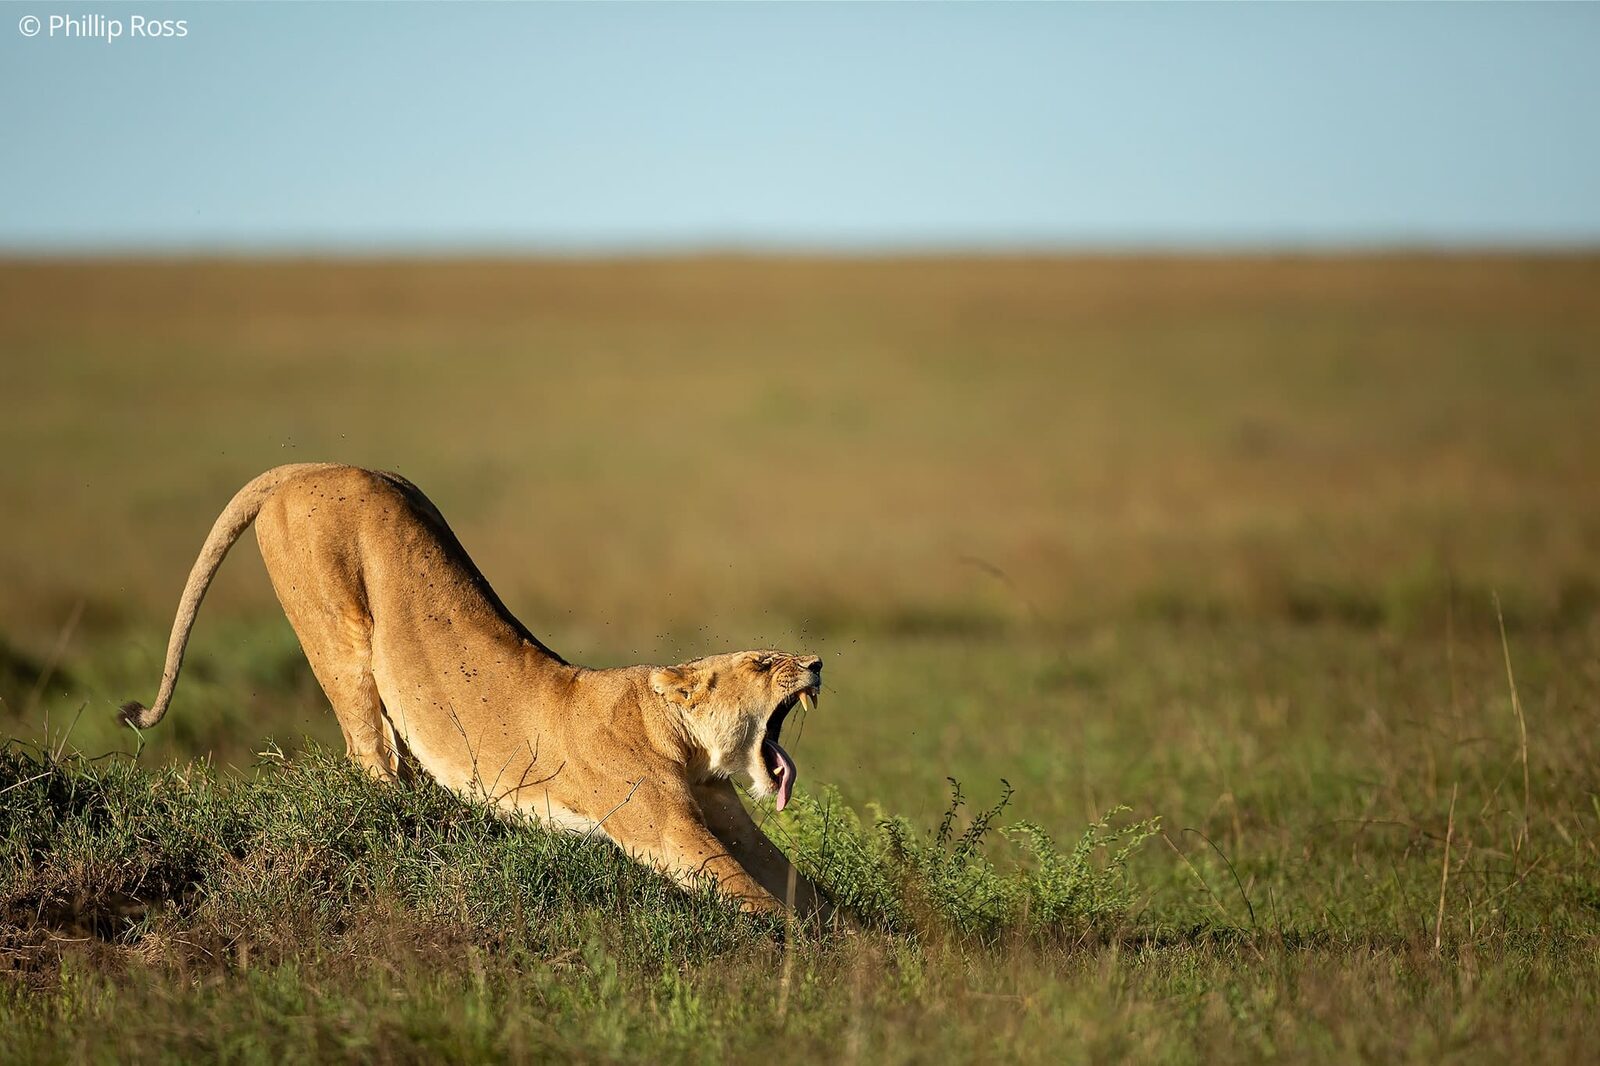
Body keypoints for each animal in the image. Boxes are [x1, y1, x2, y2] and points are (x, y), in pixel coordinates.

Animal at [119, 463, 827, 918]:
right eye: (765, 663)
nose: (818, 662)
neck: (682, 742)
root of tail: (311, 466)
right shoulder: (661, 829)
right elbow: (752, 895)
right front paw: (810, 955)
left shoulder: (725, 812)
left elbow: (801, 885)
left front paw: (850, 936)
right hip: (339, 636)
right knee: (372, 751)